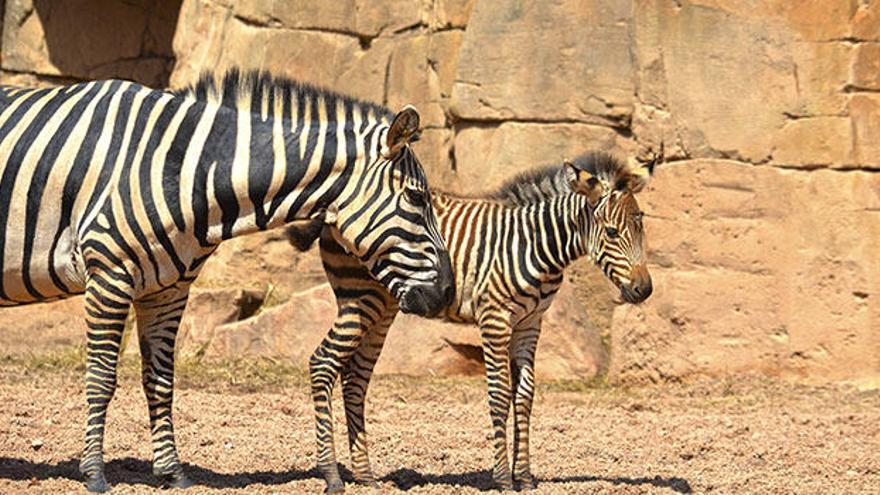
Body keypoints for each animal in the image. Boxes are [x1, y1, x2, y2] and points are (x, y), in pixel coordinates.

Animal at [0, 70, 454, 492]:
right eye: (416, 198)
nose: (446, 292)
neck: (186, 170)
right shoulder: (109, 273)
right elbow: (101, 378)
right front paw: (94, 473)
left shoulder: (169, 289)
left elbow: (160, 381)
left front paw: (172, 473)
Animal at [288, 150, 660, 492]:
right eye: (611, 232)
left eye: (641, 226)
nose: (644, 290)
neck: (535, 245)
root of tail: (333, 212)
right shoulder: (495, 319)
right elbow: (499, 394)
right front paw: (503, 479)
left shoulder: (530, 324)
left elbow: (524, 395)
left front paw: (525, 477)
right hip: (361, 297)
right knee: (323, 362)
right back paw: (332, 475)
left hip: (384, 306)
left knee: (355, 378)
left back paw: (365, 476)